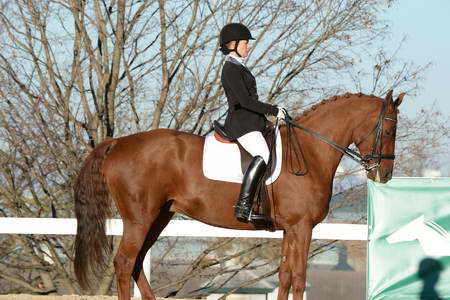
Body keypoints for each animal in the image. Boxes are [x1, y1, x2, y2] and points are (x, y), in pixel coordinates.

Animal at [73, 91, 404, 300]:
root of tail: (118, 143)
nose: (384, 174)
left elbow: (285, 277)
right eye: (389, 130)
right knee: (125, 263)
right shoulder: (302, 227)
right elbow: (299, 278)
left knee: (137, 262)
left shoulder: (290, 229)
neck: (310, 152)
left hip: (160, 216)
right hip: (140, 217)